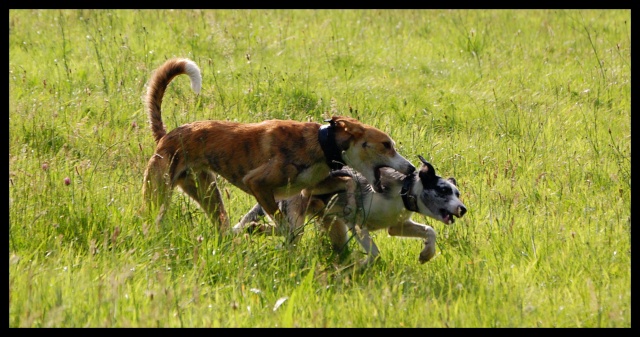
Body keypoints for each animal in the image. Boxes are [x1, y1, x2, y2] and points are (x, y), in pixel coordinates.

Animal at [140, 57, 416, 235]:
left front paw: (349, 204)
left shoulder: (309, 186)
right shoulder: (257, 183)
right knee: (152, 215)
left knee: (221, 224)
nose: (413, 168)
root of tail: (167, 135)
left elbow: (347, 181)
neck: (321, 142)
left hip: (206, 191)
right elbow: (284, 223)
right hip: (158, 191)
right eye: (386, 145)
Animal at [235, 155, 464, 266]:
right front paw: (360, 266)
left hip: (331, 227)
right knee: (288, 232)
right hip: (299, 220)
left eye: (458, 193)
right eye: (443, 190)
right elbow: (374, 254)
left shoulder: (397, 226)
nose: (463, 209)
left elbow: (429, 231)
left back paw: (254, 228)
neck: (403, 190)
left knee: (278, 229)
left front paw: (427, 253)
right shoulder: (357, 224)